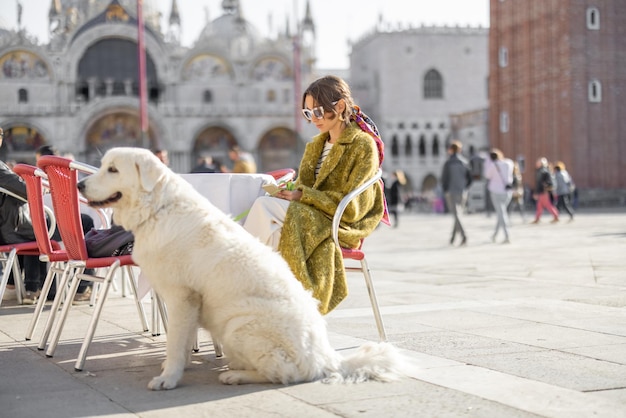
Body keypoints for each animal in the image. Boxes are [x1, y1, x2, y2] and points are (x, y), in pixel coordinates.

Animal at [78, 149, 402, 390]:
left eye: (113, 170)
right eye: (103, 166)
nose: (79, 185)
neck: (159, 208)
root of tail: (327, 359)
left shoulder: (182, 297)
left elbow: (174, 340)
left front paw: (168, 378)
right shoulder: (186, 302)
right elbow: (181, 341)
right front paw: (177, 366)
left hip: (237, 325)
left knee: (283, 373)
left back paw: (236, 375)